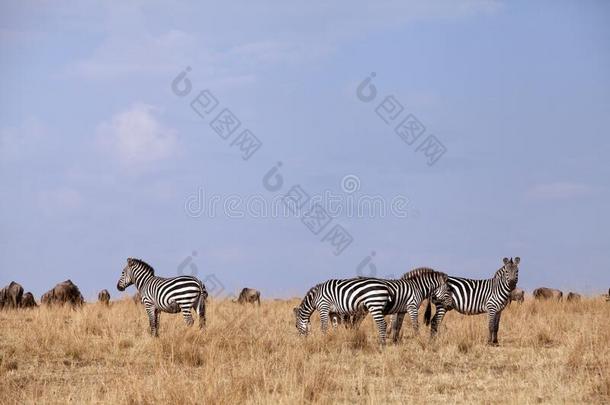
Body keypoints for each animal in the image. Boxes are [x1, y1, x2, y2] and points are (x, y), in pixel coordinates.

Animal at [294, 268, 452, 344]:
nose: (301, 341)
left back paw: (381, 343)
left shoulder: (324, 306)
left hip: (372, 307)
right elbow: (333, 326)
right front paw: (334, 338)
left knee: (380, 324)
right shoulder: (332, 311)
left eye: (295, 326)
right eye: (448, 290)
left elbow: (324, 326)